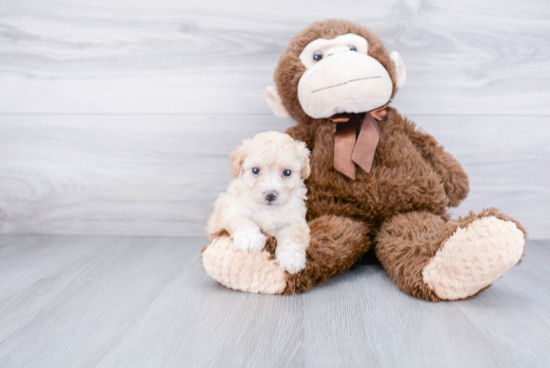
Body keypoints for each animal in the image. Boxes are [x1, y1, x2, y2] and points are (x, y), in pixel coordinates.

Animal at [207, 132, 310, 274]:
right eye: (255, 170)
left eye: (287, 172)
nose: (270, 195)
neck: (268, 209)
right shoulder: (233, 211)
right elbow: (242, 221)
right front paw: (250, 238)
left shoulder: (296, 221)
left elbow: (293, 235)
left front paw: (291, 257)